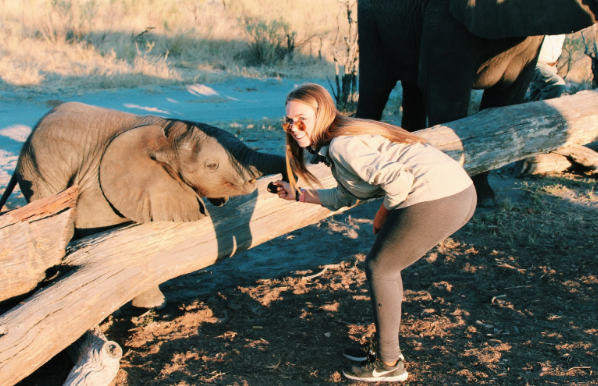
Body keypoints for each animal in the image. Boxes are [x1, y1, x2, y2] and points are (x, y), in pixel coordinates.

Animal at [0, 102, 290, 308]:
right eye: (211, 166)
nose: (275, 185)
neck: (166, 134)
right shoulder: (96, 184)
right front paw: (153, 306)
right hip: (40, 173)